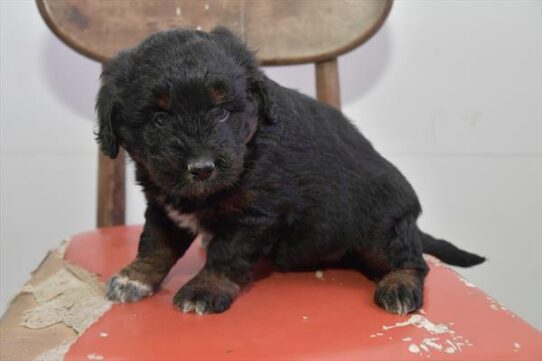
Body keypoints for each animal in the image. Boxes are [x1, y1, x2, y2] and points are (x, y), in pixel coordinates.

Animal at [95, 27, 486, 316]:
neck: (249, 147)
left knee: (414, 261)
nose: (202, 169)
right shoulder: (164, 207)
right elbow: (155, 244)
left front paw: (205, 288)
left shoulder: (254, 215)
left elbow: (226, 253)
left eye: (221, 112)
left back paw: (399, 285)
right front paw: (136, 277)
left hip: (381, 229)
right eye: (160, 119)